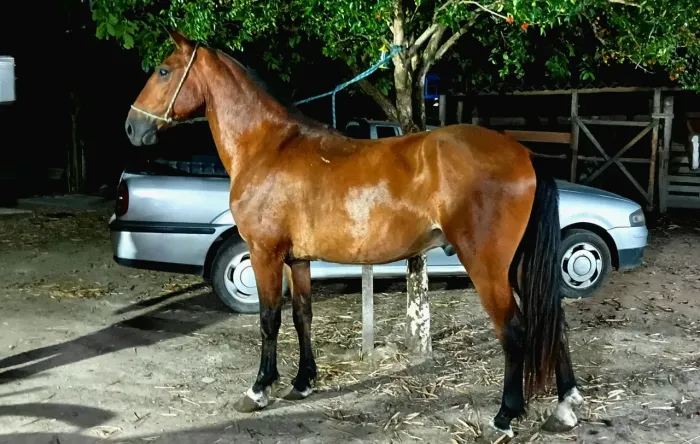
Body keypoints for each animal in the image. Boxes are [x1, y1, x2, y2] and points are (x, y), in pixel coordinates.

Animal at [124, 30, 583, 437]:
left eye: (164, 70)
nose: (131, 128)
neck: (269, 147)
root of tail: (524, 154)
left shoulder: (263, 253)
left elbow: (269, 319)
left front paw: (258, 390)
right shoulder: (297, 259)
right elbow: (302, 315)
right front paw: (302, 383)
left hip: (488, 267)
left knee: (515, 330)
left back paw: (505, 416)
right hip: (518, 265)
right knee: (551, 319)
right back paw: (564, 406)